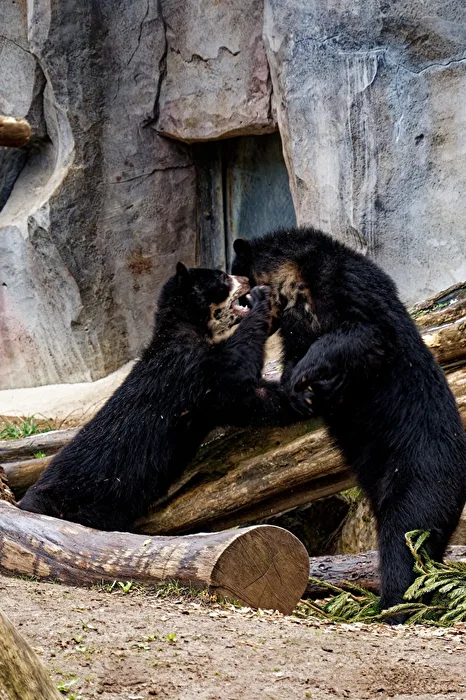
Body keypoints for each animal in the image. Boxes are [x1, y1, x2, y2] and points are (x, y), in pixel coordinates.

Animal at [19, 263, 308, 532]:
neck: (190, 327)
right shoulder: (188, 370)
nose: (246, 278)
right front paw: (263, 299)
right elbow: (235, 378)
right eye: (222, 278)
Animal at [232, 227, 466, 620]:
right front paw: (299, 389)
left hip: (420, 472)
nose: (234, 316)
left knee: (406, 534)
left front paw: (307, 373)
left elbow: (366, 333)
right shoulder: (296, 326)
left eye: (238, 289)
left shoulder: (351, 287)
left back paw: (391, 606)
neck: (298, 284)